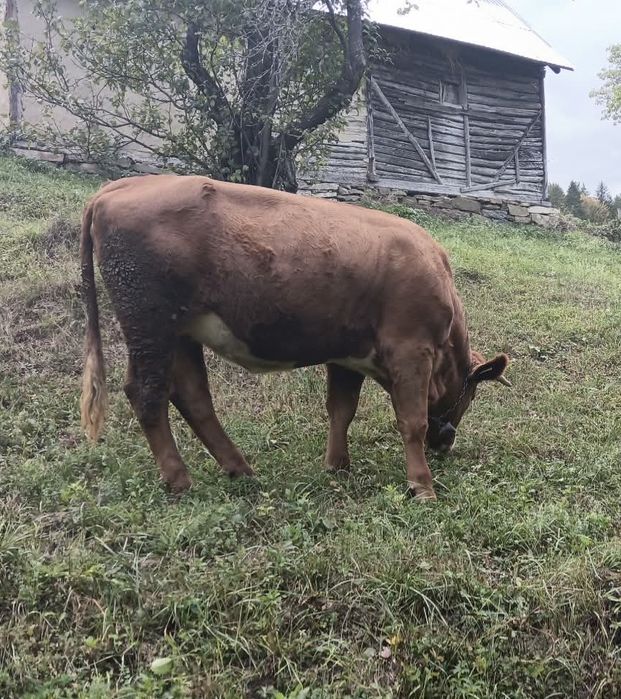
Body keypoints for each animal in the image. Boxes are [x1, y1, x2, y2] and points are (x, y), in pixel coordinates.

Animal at [80, 174, 510, 500]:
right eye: (471, 394)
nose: (446, 444)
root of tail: (120, 186)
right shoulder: (411, 350)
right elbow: (412, 421)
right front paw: (422, 487)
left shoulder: (348, 355)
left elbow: (341, 410)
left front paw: (337, 466)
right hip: (149, 323)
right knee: (147, 394)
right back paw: (180, 480)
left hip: (180, 332)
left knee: (193, 396)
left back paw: (240, 469)